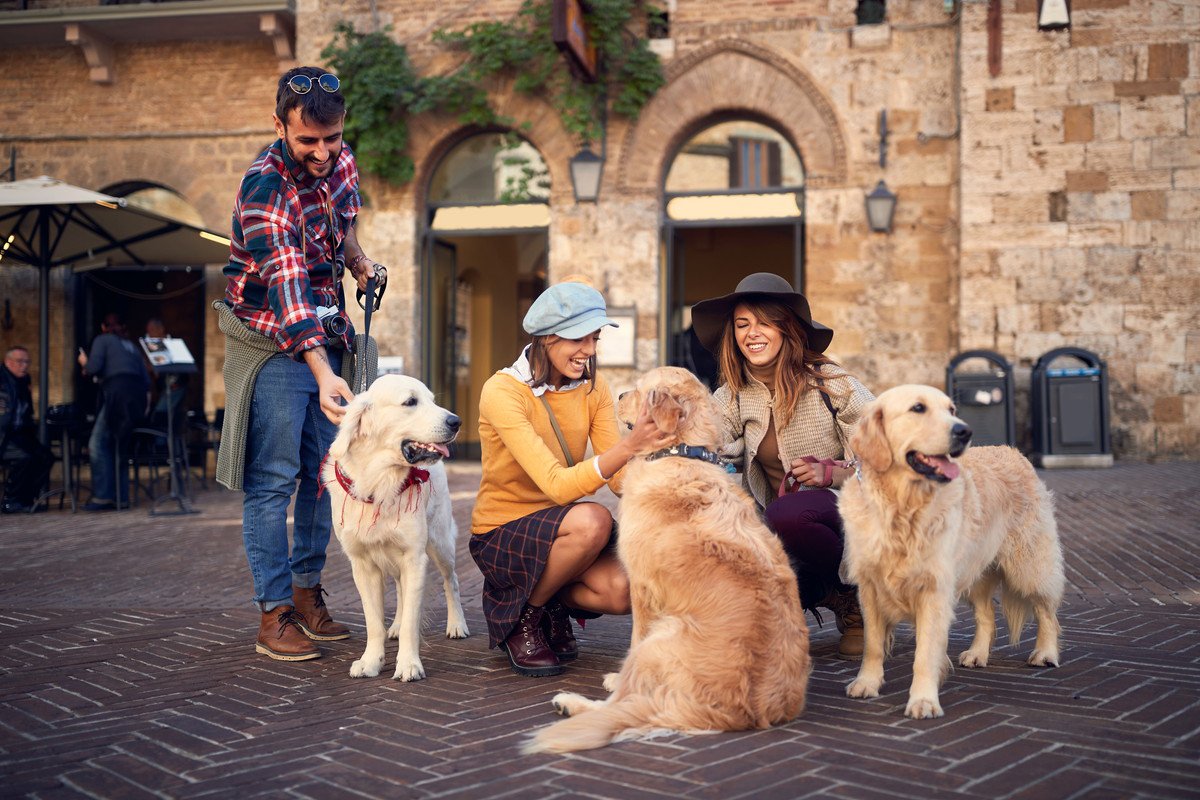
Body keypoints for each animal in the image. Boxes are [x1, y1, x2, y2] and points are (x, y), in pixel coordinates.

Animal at [321, 376, 470, 681]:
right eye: (410, 402)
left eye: (432, 400)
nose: (456, 421)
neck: (380, 482)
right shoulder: (363, 565)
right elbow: (373, 621)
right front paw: (370, 661)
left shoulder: (415, 558)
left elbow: (414, 619)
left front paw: (409, 664)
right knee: (401, 590)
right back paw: (397, 626)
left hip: (440, 544)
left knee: (451, 581)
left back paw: (457, 624)